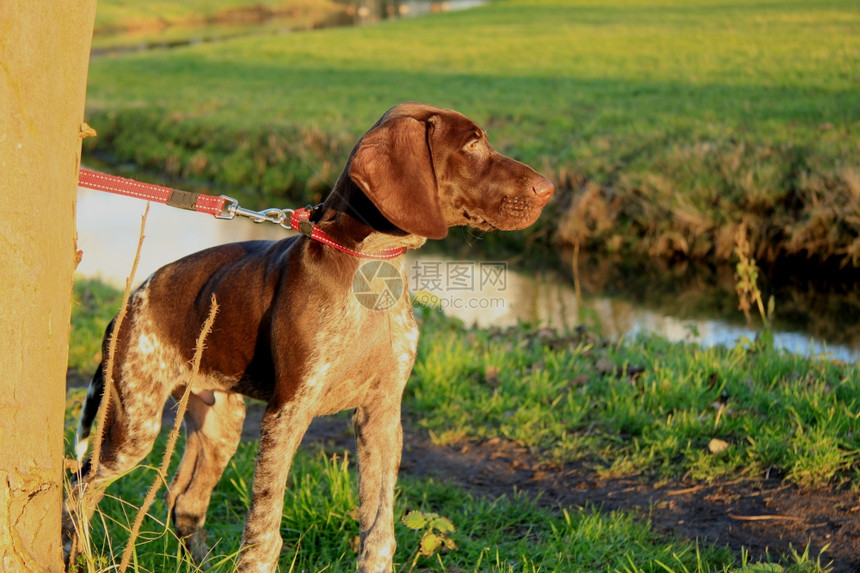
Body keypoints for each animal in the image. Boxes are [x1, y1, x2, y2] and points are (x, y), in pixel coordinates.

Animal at [65, 103, 552, 572]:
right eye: (471, 145)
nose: (547, 189)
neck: (371, 266)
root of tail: (129, 303)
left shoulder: (382, 414)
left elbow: (379, 533)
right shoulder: (288, 413)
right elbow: (264, 533)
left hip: (221, 422)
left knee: (185, 503)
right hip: (134, 425)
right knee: (79, 488)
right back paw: (81, 556)